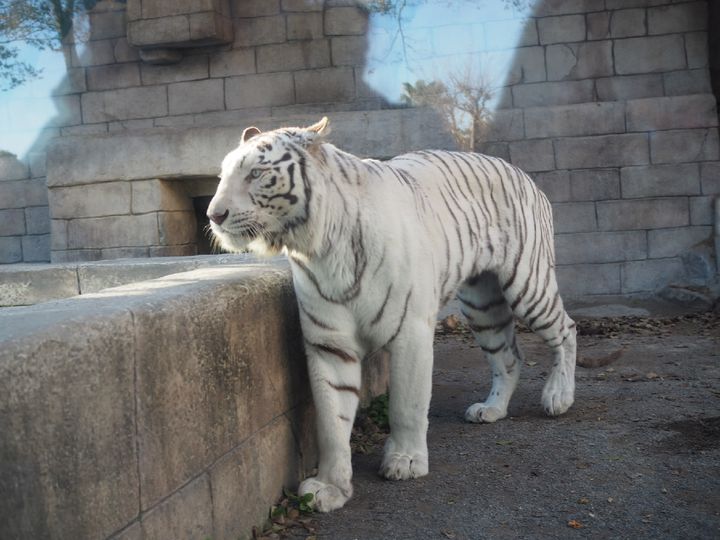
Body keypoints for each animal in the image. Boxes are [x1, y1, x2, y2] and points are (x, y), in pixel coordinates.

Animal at [205, 117, 576, 510]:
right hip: (482, 304)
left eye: (256, 173)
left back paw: (558, 397)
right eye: (222, 175)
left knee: (566, 330)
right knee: (508, 356)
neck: (317, 248)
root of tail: (522, 173)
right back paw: (491, 409)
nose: (214, 215)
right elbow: (331, 421)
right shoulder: (329, 344)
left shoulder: (411, 332)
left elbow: (406, 404)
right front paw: (330, 487)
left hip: (528, 283)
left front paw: (406, 461)